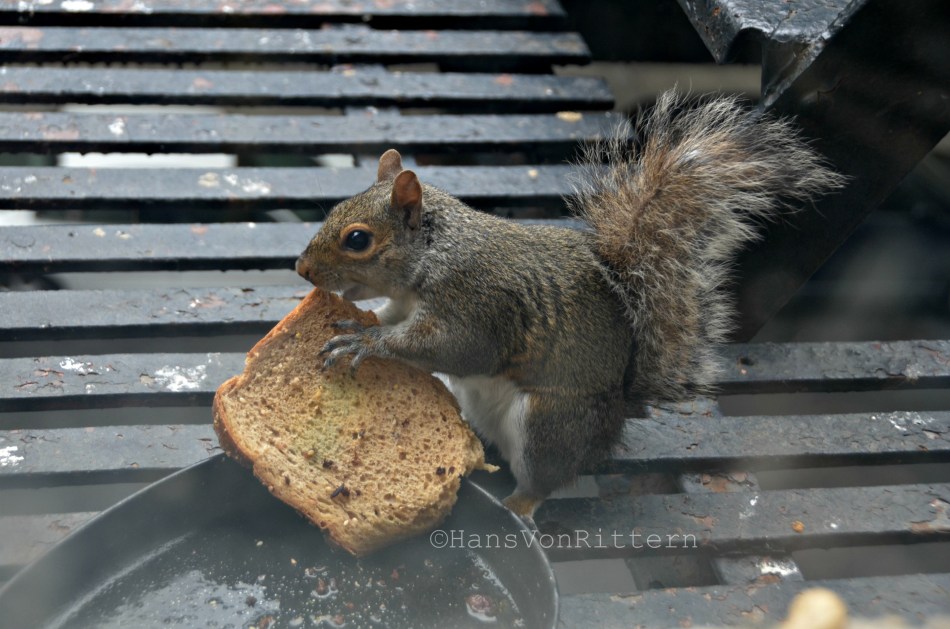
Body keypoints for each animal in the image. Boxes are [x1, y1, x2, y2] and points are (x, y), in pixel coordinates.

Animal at [295, 90, 844, 517]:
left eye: (358, 239)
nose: (301, 269)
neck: (436, 254)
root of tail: (619, 406)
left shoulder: (479, 304)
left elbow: (455, 348)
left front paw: (367, 341)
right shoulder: (408, 303)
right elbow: (393, 317)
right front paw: (358, 324)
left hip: (549, 424)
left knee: (543, 479)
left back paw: (516, 507)